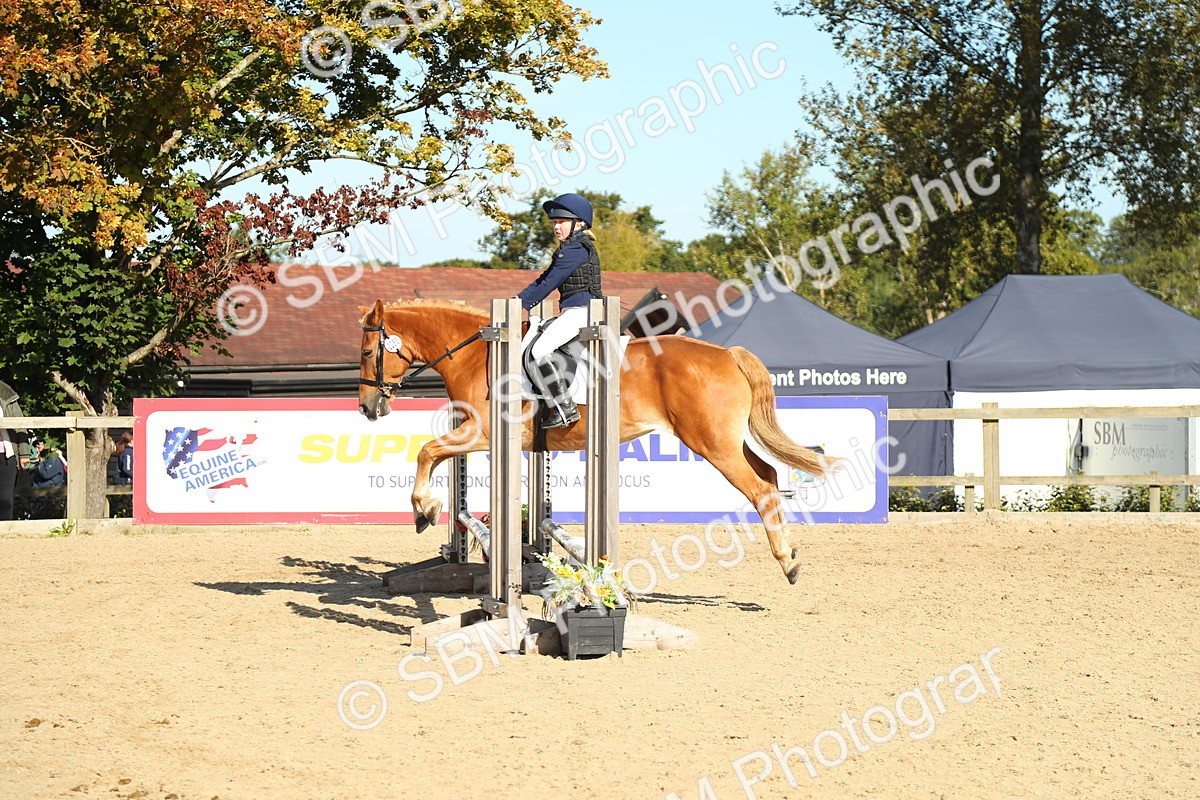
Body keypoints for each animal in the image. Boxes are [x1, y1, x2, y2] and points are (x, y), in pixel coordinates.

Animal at [357, 298, 837, 584]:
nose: (367, 408)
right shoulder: (479, 436)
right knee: (770, 475)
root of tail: (727, 354)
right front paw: (430, 511)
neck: (480, 353)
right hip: (725, 442)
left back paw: (787, 560)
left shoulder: (484, 433)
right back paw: (790, 554)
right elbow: (434, 455)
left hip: (713, 444)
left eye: (365, 352)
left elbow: (427, 451)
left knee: (758, 489)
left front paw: (423, 509)